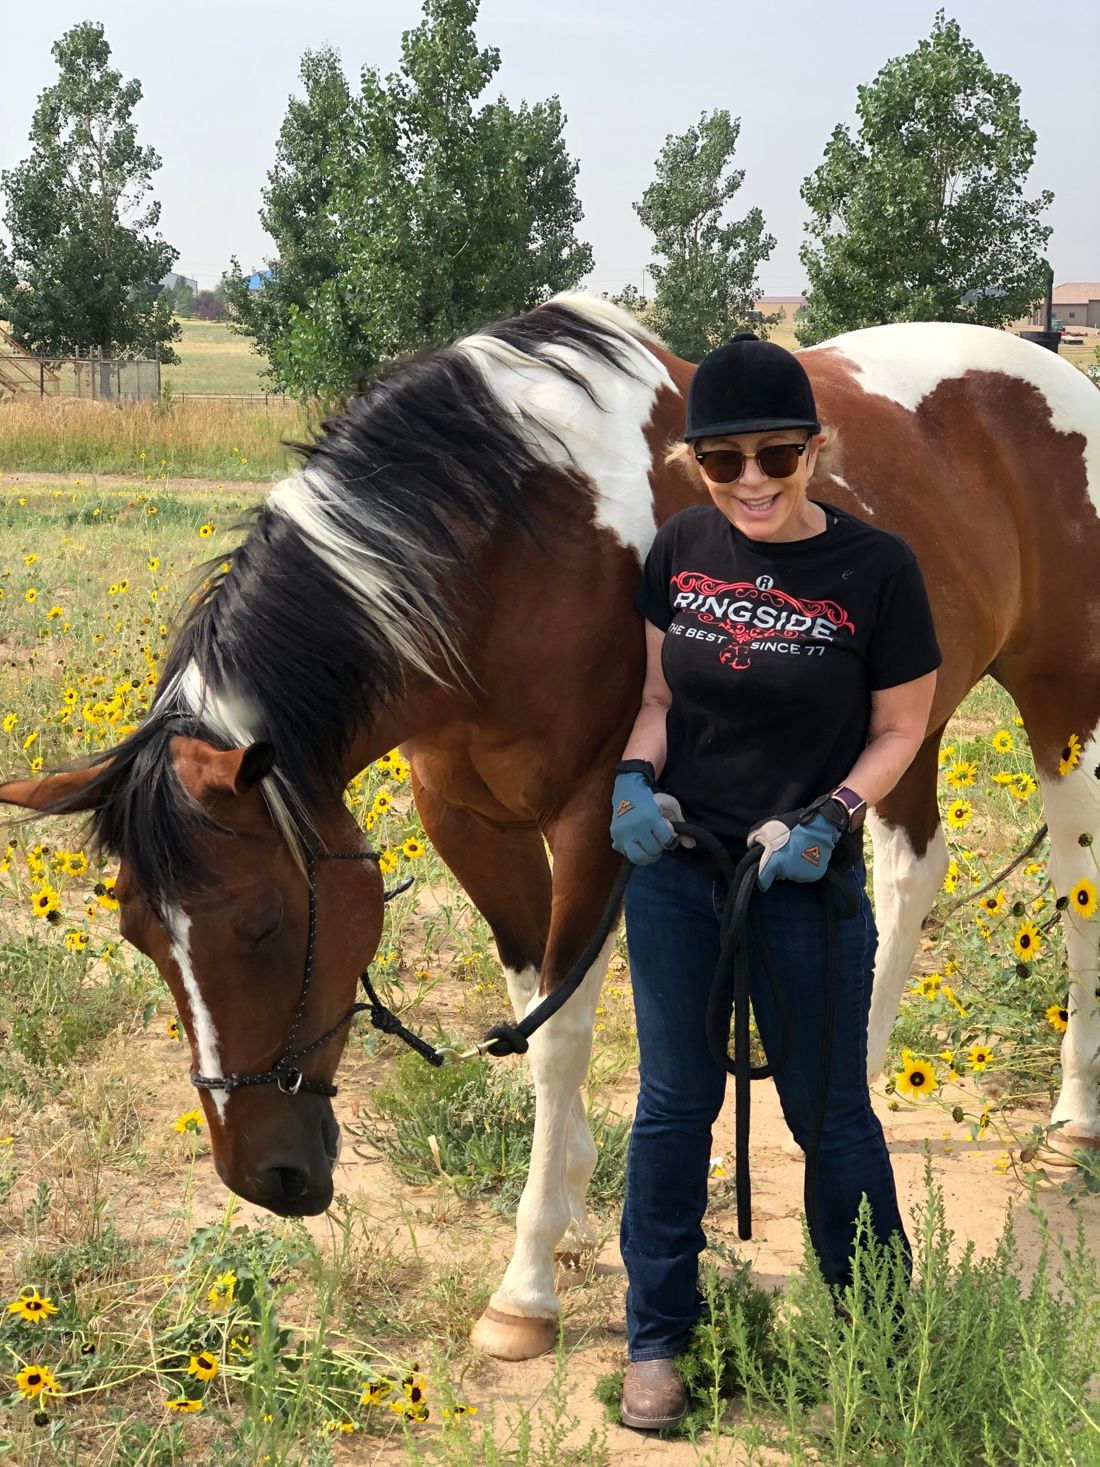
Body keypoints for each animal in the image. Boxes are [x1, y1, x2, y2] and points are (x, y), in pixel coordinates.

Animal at [3, 296, 1099, 1363]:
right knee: (910, 870)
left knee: (1075, 891)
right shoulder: (466, 818)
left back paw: (1070, 1125)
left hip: (1061, 707)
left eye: (265, 924)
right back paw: (858, 1075)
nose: (267, 1178)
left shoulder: (597, 821)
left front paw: (526, 1284)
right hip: (908, 718)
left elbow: (560, 1035)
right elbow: (530, 1008)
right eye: (140, 938)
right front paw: (568, 1190)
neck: (519, 545)